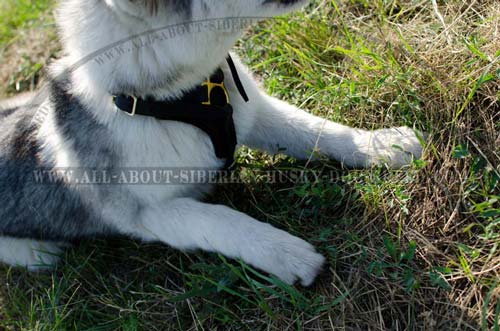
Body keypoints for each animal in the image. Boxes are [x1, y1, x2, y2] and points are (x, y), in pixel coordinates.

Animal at [0, 0, 422, 286]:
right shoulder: (148, 214)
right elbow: (221, 221)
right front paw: (287, 254)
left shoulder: (255, 112)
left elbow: (314, 129)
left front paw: (382, 145)